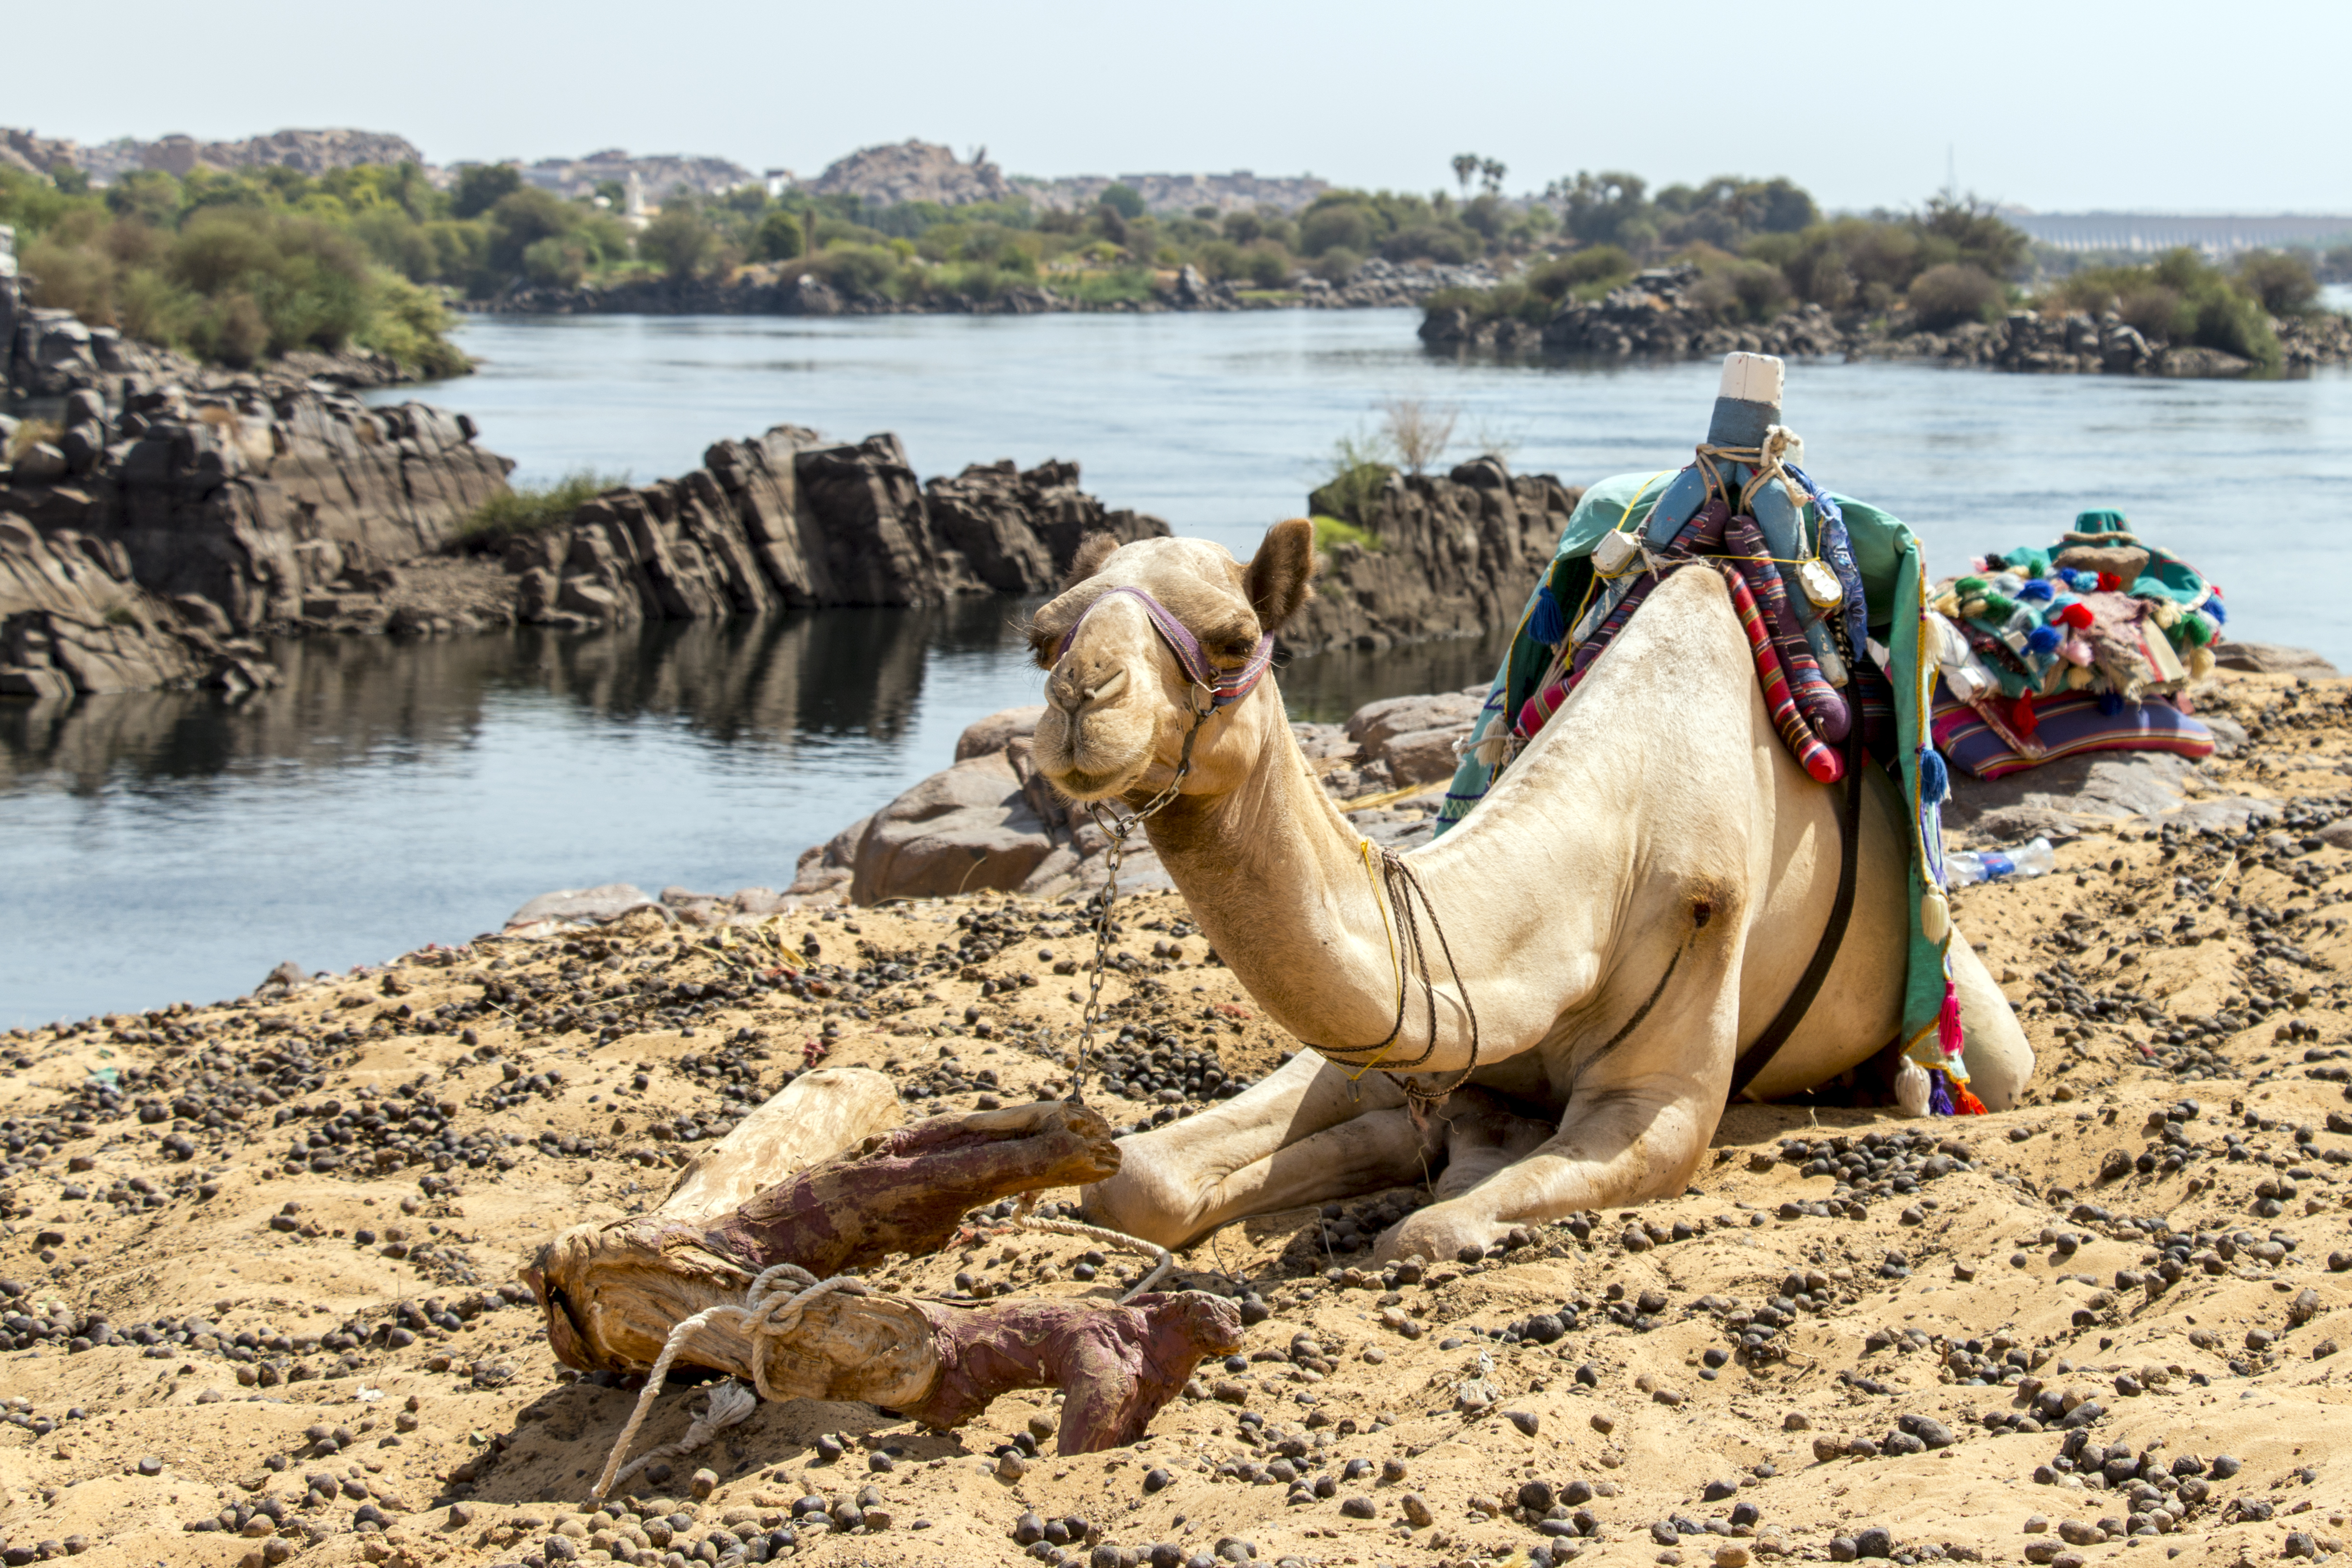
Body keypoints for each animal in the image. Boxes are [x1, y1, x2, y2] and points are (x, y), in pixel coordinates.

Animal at [1026, 519, 2034, 1267]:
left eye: (1236, 640)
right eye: (1042, 636)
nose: (1081, 697)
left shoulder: (1662, 1087)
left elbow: (1430, 1231)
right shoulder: (1405, 1035)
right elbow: (1136, 1181)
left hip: (1976, 1038)